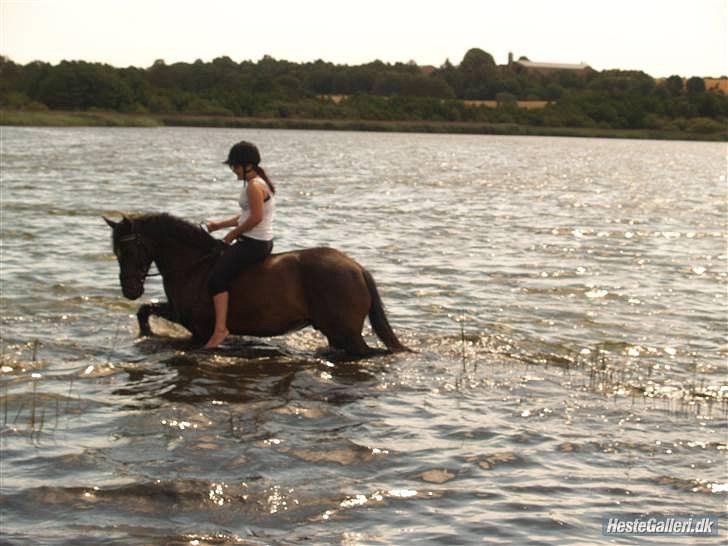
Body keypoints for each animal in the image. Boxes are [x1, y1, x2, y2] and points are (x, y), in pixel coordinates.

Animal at [104, 210, 410, 354]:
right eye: (115, 252)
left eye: (128, 250)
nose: (129, 290)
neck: (192, 264)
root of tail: (357, 267)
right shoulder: (179, 314)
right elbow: (144, 310)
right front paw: (147, 334)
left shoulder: (199, 329)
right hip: (335, 332)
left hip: (347, 334)